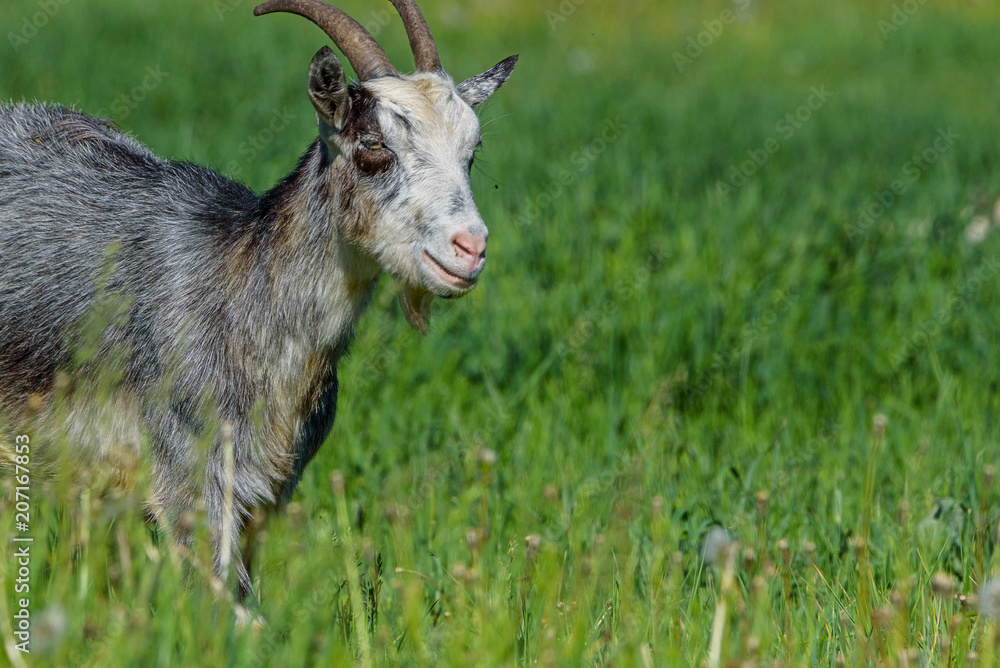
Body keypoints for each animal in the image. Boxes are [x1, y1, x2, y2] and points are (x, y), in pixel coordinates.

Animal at [0, 0, 516, 600]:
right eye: (373, 146)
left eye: (472, 152)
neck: (241, 284)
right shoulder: (188, 474)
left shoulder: (269, 491)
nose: (470, 248)